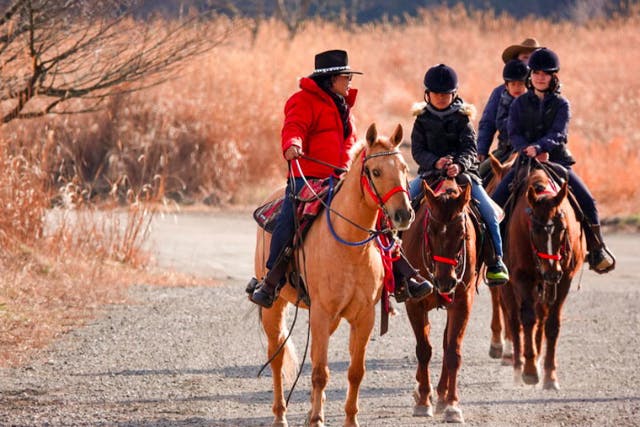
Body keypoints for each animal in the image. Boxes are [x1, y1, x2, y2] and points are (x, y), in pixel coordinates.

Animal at [255, 123, 416, 427]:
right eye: (376, 171)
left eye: (403, 168)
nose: (403, 214)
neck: (350, 245)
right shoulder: (321, 311)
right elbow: (320, 371)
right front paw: (317, 418)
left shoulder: (363, 316)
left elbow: (355, 372)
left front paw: (348, 419)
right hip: (275, 306)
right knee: (277, 356)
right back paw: (280, 415)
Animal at [402, 178, 478, 424]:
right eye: (430, 231)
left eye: (461, 232)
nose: (445, 281)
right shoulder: (414, 304)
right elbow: (424, 350)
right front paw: (423, 401)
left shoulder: (462, 302)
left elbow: (453, 351)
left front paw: (452, 405)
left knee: (446, 343)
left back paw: (443, 394)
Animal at [500, 162, 584, 390]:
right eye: (535, 229)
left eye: (562, 228)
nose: (552, 271)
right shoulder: (522, 277)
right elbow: (527, 318)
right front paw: (529, 370)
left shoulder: (564, 280)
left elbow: (552, 324)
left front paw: (550, 376)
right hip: (510, 286)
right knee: (514, 319)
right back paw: (518, 367)